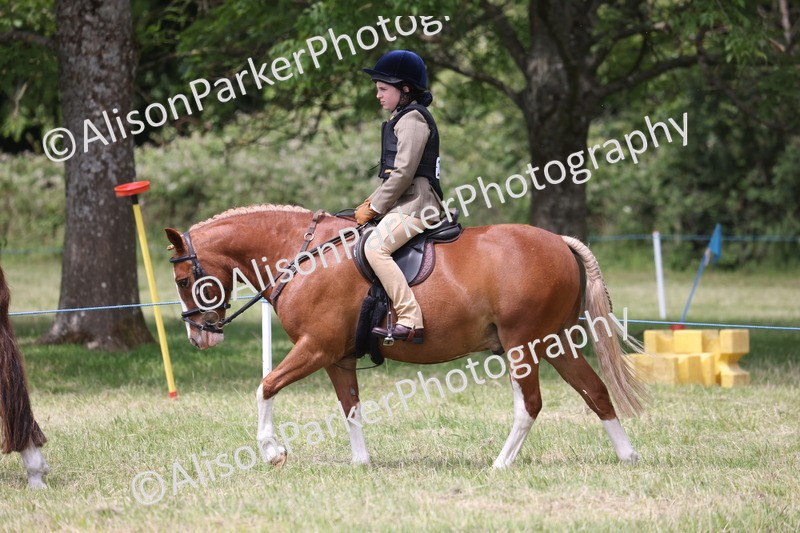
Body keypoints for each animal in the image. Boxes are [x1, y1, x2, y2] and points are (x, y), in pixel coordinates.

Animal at [165, 204, 647, 468]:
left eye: (185, 279)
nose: (199, 337)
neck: (305, 257)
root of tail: (560, 242)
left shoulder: (315, 347)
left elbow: (265, 386)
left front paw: (272, 452)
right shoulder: (337, 357)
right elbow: (351, 408)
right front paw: (360, 463)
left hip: (522, 346)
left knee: (530, 404)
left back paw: (500, 463)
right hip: (553, 344)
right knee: (594, 391)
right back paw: (627, 456)